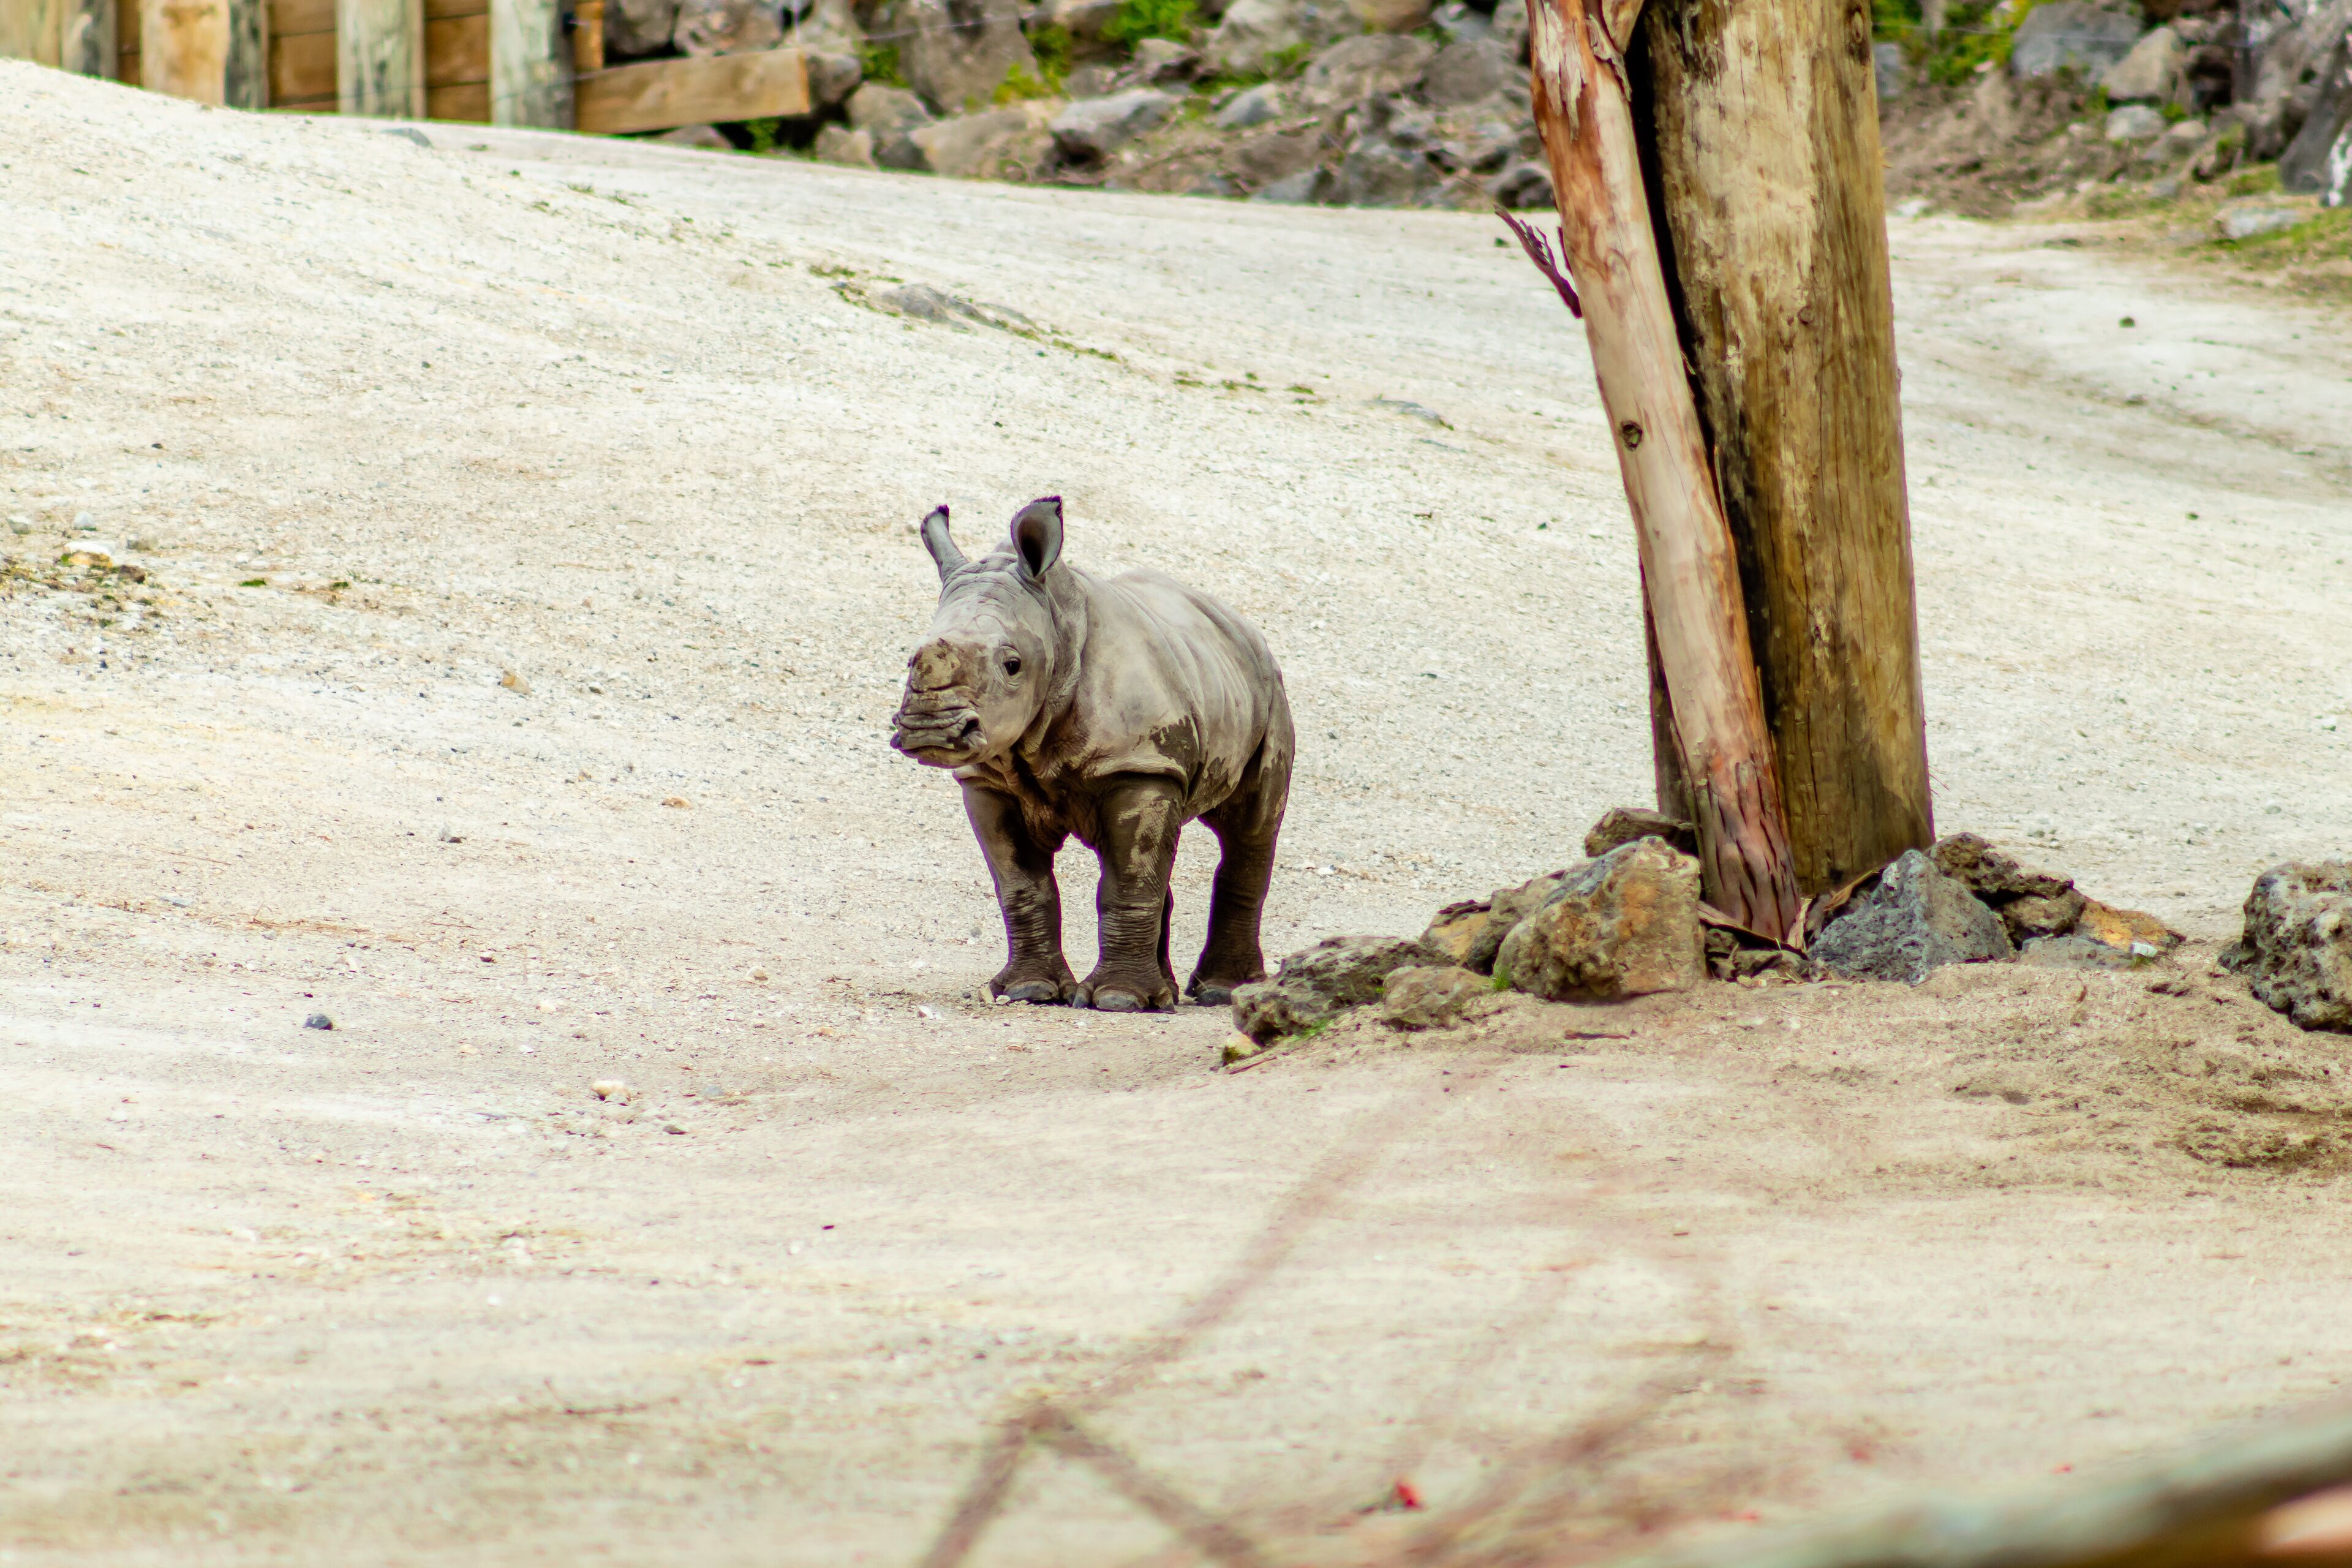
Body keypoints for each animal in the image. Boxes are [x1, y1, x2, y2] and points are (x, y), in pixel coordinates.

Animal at [889, 497, 1294, 1012]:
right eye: (909, 659)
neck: (1056, 627)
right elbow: (1023, 887)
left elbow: (1127, 884)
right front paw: (1030, 992)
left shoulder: (1140, 765)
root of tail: (1241, 625)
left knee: (1250, 829)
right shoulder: (989, 781)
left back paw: (1221, 993)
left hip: (1269, 688)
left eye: (1012, 665)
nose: (931, 729)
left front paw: (1118, 1000)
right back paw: (1166, 995)